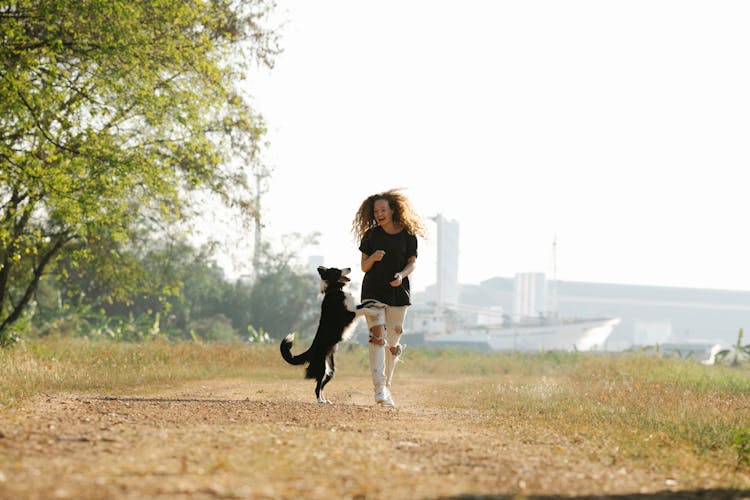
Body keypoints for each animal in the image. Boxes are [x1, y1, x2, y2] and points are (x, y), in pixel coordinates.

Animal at [280, 266, 374, 402]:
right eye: (337, 271)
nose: (349, 267)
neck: (334, 290)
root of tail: (310, 351)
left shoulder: (353, 307)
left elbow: (364, 304)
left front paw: (376, 302)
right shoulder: (347, 315)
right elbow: (363, 309)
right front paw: (374, 310)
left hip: (330, 370)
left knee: (322, 386)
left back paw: (325, 400)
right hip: (321, 368)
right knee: (317, 387)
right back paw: (320, 401)